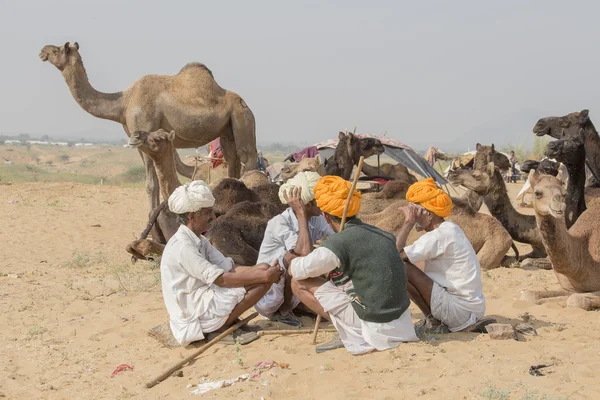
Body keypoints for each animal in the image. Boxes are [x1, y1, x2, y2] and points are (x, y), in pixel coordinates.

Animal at [38, 42, 256, 220]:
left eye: (57, 50)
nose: (43, 51)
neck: (123, 103)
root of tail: (244, 103)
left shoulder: (146, 133)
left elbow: (151, 184)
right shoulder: (136, 140)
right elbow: (154, 183)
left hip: (242, 116)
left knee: (247, 157)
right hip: (227, 129)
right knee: (232, 160)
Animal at [520, 171, 600, 310]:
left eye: (564, 194)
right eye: (537, 193)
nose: (558, 205)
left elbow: (575, 300)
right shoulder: (569, 288)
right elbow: (528, 295)